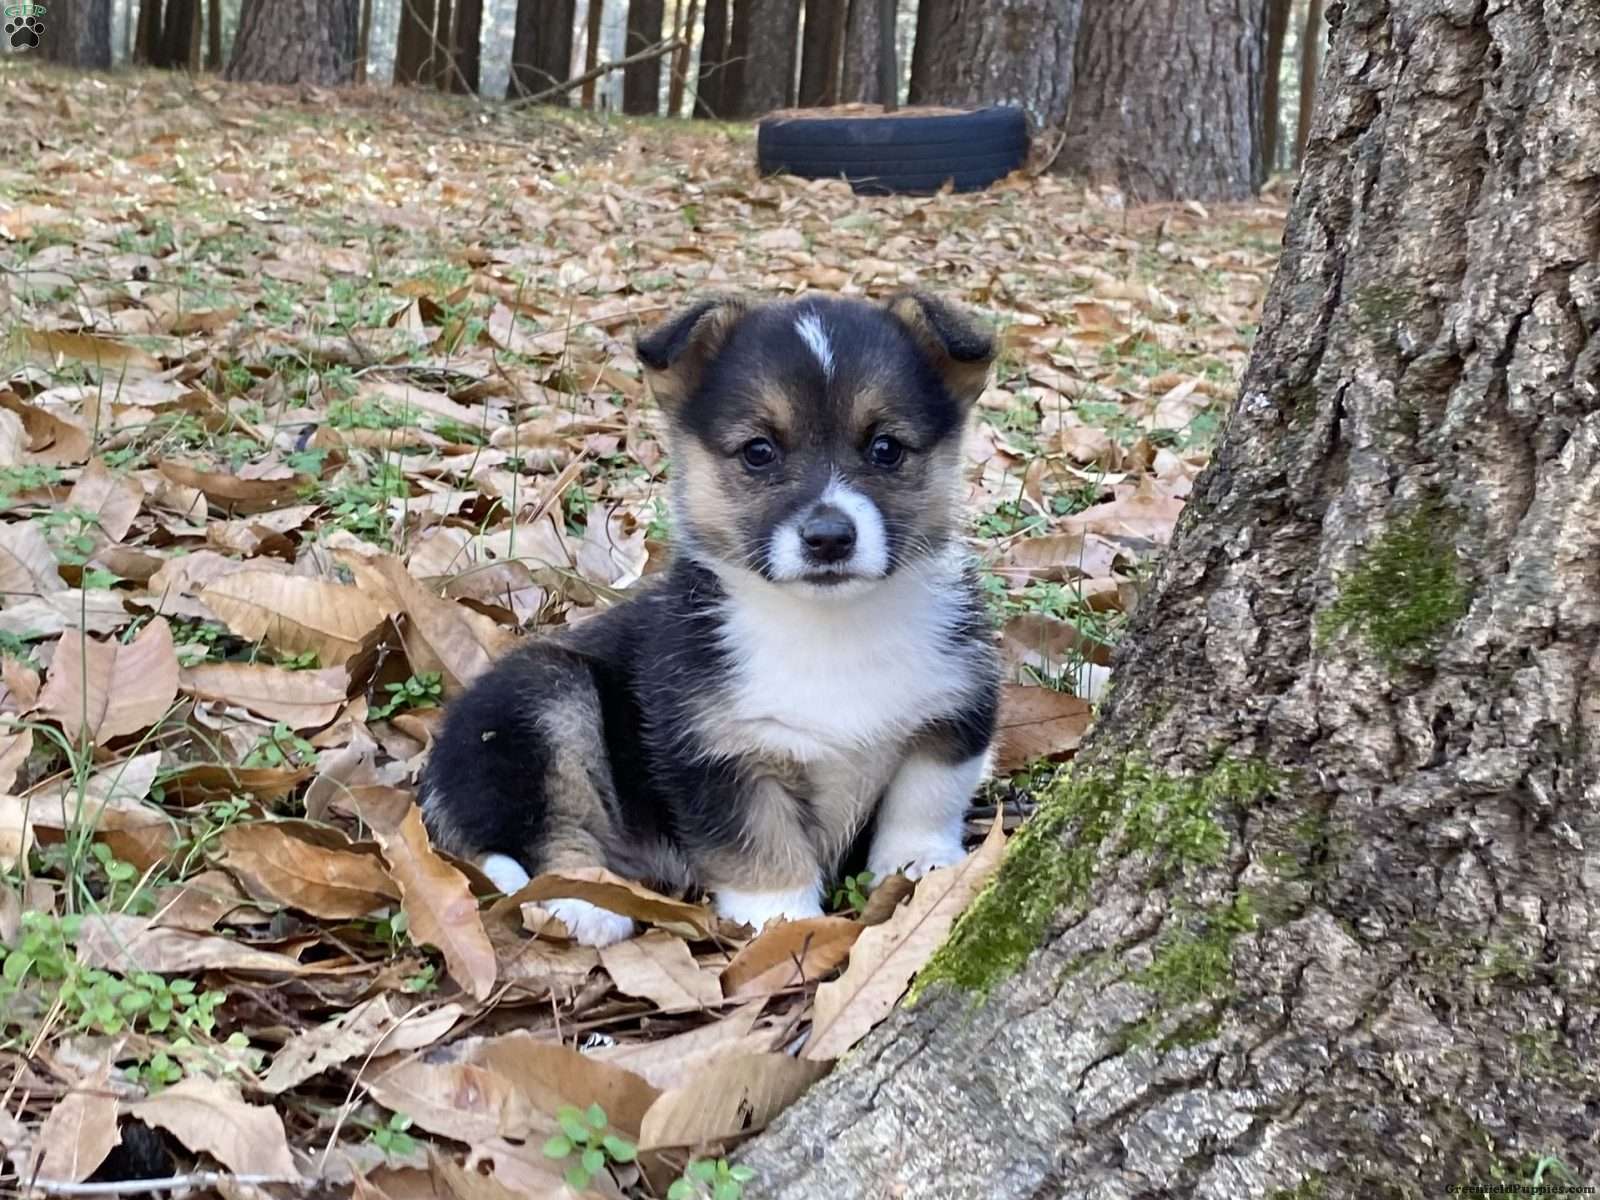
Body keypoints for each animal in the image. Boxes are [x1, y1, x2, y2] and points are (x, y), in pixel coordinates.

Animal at [420, 291, 1001, 946]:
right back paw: (584, 904)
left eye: (886, 449)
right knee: (535, 834)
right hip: (539, 700)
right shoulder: (716, 752)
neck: (828, 625)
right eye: (758, 451)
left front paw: (922, 865)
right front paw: (782, 918)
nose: (829, 538)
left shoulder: (953, 712)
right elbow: (760, 843)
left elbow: (925, 798)